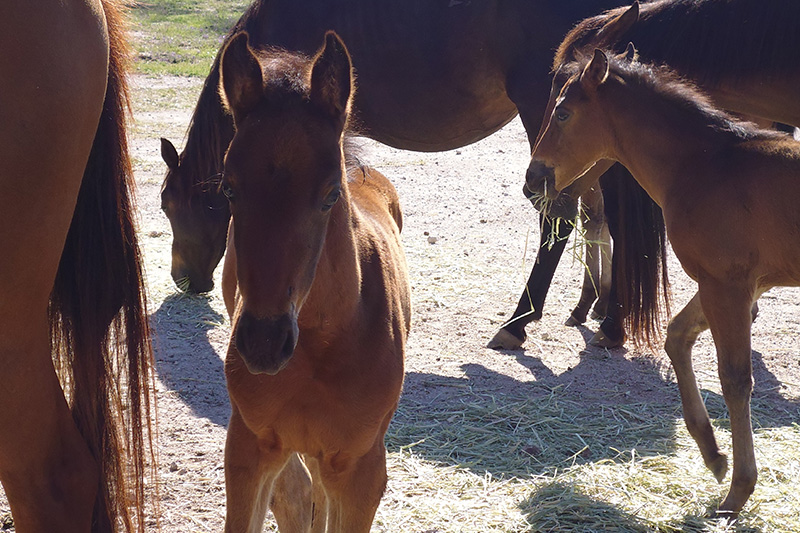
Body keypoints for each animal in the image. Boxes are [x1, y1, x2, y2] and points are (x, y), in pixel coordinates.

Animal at [528, 48, 796, 516]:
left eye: (562, 112)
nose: (532, 179)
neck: (706, 163)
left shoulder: (726, 286)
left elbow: (735, 379)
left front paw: (737, 491)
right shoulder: (734, 285)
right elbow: (676, 337)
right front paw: (713, 454)